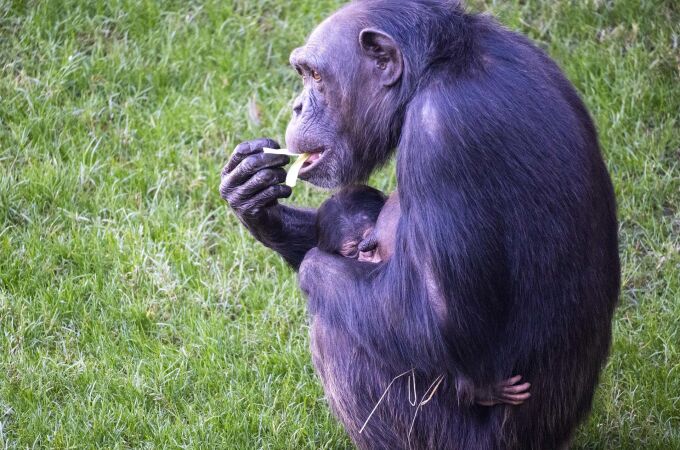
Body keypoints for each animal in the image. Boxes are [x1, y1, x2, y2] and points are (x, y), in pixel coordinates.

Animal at [219, 0, 620, 450]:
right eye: (304, 75)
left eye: (316, 77)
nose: (297, 106)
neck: (435, 70)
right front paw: (252, 194)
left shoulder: (439, 136)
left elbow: (440, 321)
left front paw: (312, 265)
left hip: (453, 436)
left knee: (333, 329)